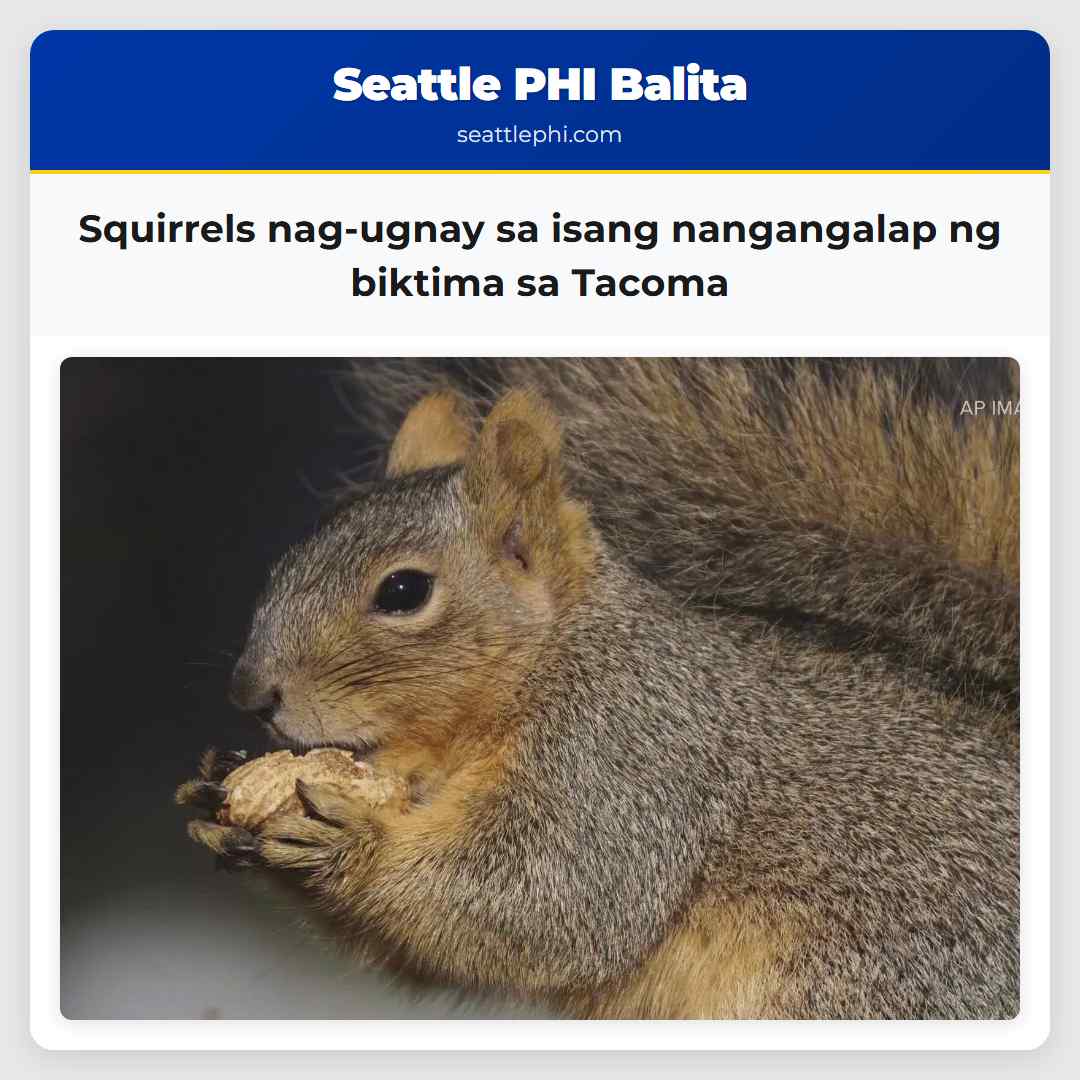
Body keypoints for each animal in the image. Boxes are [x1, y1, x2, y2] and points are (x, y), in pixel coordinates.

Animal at [178, 357, 1019, 1020]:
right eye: (289, 559)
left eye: (404, 591)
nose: (251, 693)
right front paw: (220, 793)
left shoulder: (627, 756)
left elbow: (554, 899)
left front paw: (350, 841)